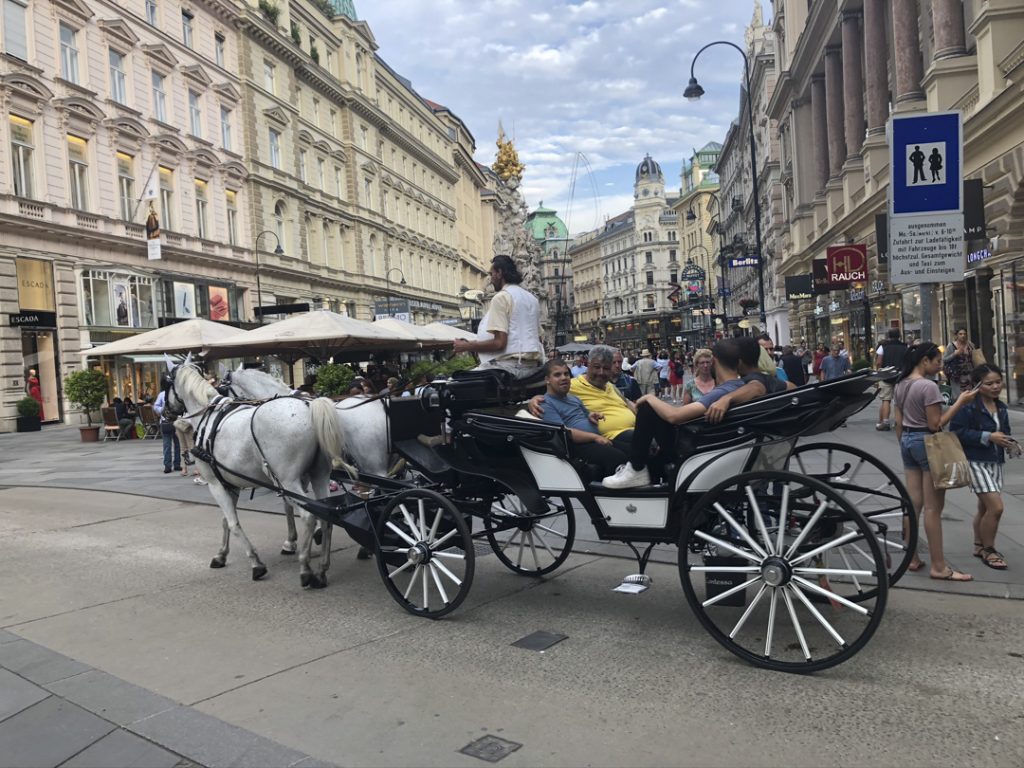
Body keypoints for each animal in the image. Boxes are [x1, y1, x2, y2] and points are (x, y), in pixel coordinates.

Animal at [165, 360, 354, 589]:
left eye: (166, 382)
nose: (164, 411)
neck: (207, 420)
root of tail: (309, 408)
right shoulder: (230, 484)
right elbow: (226, 520)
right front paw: (221, 555)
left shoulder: (215, 484)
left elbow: (234, 523)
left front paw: (256, 562)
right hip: (319, 475)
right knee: (326, 516)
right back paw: (322, 570)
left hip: (289, 480)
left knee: (309, 516)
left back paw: (305, 568)